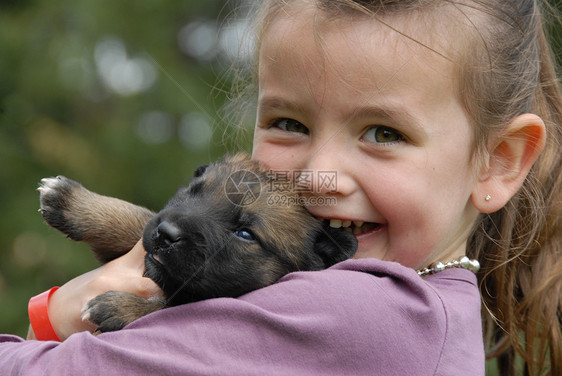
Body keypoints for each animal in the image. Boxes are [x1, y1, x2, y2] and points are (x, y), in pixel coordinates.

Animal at [38, 153, 354, 332]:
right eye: (193, 192)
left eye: (245, 234)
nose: (166, 234)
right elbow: (140, 218)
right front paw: (71, 202)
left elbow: (170, 307)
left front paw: (123, 307)